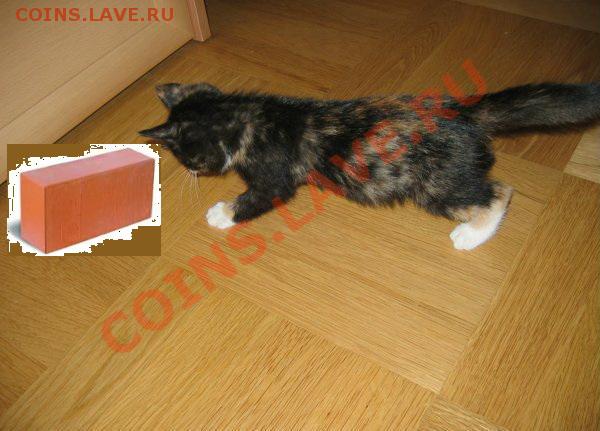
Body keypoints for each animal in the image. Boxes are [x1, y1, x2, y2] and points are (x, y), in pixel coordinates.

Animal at [139, 82, 600, 250]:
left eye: (187, 157)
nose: (192, 172)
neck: (247, 117)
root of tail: (464, 111)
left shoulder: (274, 175)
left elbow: (258, 197)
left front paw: (220, 213)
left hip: (437, 182)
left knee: (500, 192)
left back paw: (472, 234)